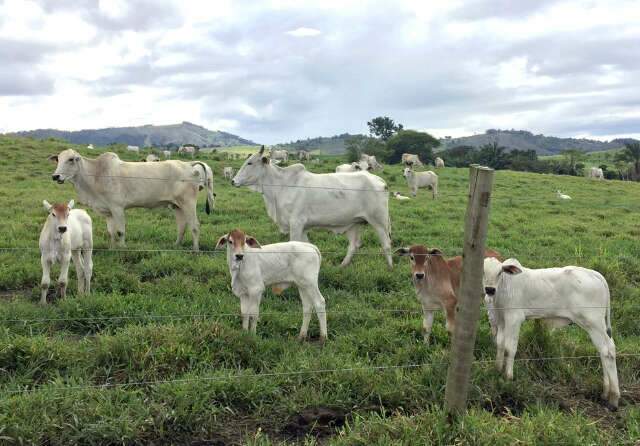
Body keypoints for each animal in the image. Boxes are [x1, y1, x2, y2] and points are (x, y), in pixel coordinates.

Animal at [49, 150, 215, 251]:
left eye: (71, 159)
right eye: (58, 159)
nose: (55, 176)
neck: (96, 174)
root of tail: (188, 164)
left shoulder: (117, 208)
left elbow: (120, 231)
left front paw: (122, 248)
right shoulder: (108, 212)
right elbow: (111, 232)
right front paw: (112, 248)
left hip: (188, 203)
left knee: (195, 226)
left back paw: (195, 250)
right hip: (177, 205)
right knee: (181, 226)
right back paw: (176, 245)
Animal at [232, 145, 392, 268]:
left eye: (250, 163)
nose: (233, 181)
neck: (281, 186)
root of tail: (380, 181)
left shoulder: (296, 223)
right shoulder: (302, 227)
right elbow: (307, 247)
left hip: (379, 221)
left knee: (386, 244)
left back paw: (390, 268)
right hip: (354, 223)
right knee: (353, 245)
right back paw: (342, 266)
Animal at [484, 256, 620, 410]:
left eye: (499, 273)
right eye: (483, 271)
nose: (489, 290)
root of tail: (594, 273)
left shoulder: (514, 318)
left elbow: (510, 348)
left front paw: (508, 377)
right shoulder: (501, 320)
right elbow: (500, 344)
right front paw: (497, 369)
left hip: (593, 323)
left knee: (607, 351)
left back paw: (613, 398)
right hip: (597, 325)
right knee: (604, 350)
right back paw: (606, 392)